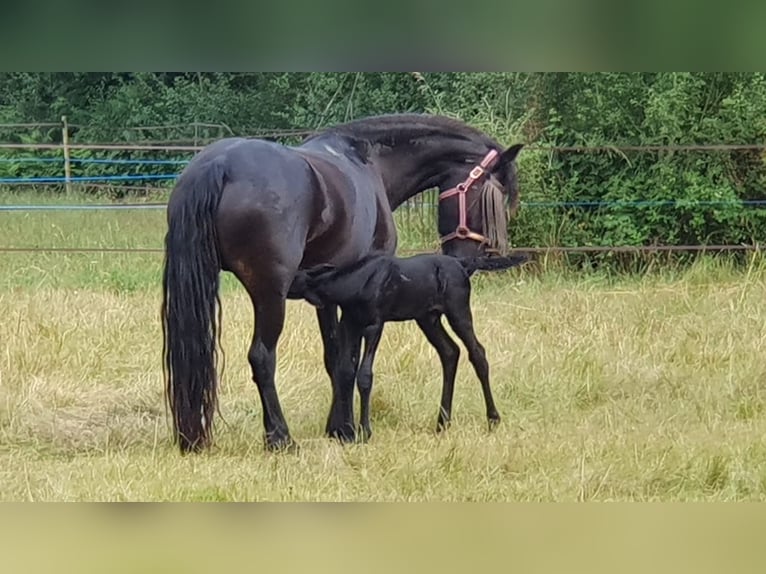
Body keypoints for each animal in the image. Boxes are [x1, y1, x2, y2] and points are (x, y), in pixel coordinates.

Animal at [291, 252, 529, 439]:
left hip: (457, 310)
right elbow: (345, 371)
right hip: (427, 317)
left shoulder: (374, 325)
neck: (354, 283)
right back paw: (442, 422)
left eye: (294, 278)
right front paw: (348, 431)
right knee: (450, 352)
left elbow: (365, 375)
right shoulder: (351, 324)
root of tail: (463, 263)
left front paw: (365, 431)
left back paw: (493, 419)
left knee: (477, 353)